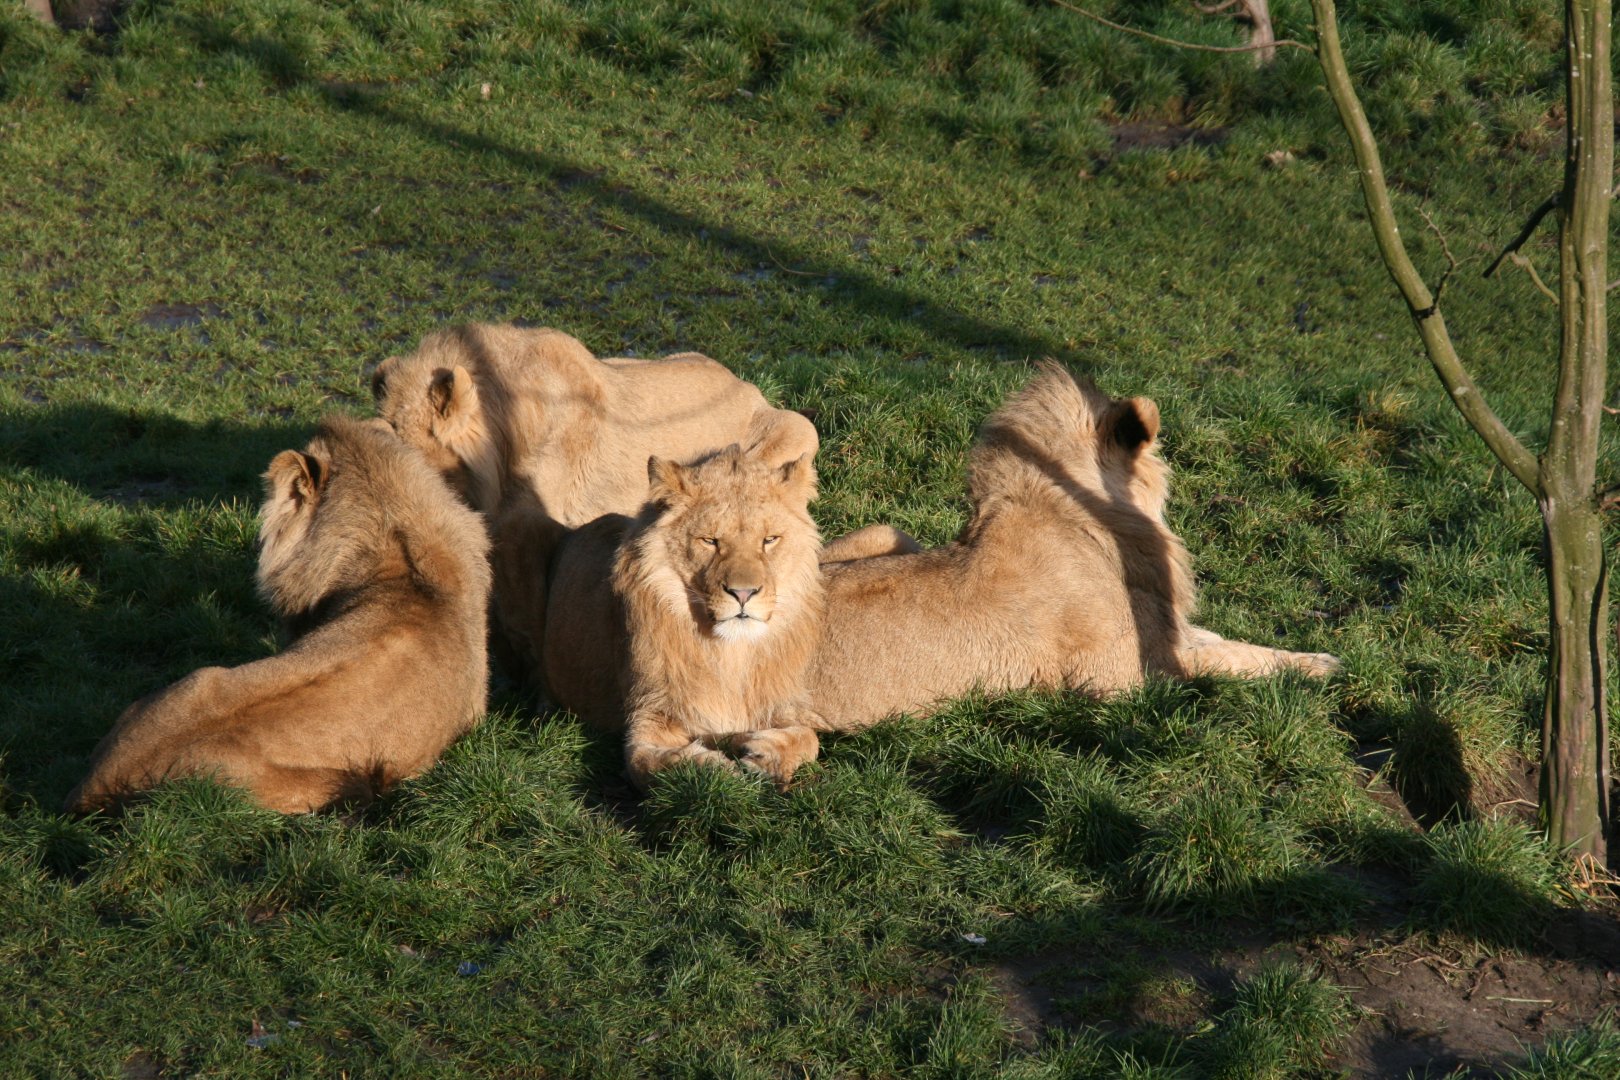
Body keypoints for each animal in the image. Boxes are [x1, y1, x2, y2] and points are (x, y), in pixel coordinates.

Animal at [542, 443, 826, 790]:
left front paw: (764, 751)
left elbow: (810, 738)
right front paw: (714, 768)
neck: (731, 654)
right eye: (710, 541)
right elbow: (647, 763)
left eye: (769, 540)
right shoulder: (650, 715)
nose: (743, 593)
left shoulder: (784, 706)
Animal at [804, 363, 1341, 730]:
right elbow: (1231, 662)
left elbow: (1234, 644)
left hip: (887, 531)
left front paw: (1314, 657)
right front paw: (1325, 667)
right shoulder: (1122, 680)